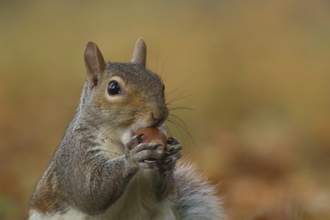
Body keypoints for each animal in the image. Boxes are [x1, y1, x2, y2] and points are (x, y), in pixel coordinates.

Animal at [29, 38, 224, 219]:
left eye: (161, 84)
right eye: (113, 87)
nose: (160, 114)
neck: (121, 143)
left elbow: (160, 192)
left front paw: (172, 155)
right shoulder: (76, 153)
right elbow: (89, 191)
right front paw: (133, 158)